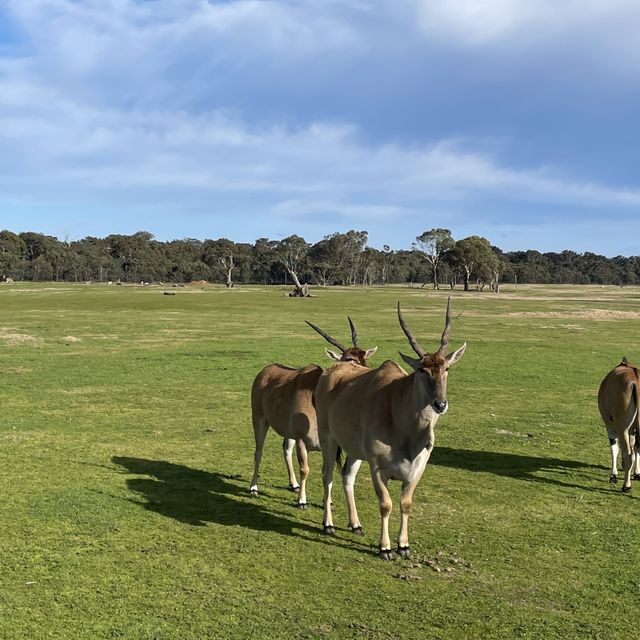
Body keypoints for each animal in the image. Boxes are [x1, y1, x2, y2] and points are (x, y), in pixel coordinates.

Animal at [246, 320, 376, 510]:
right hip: (259, 419)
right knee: (258, 451)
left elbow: (326, 472)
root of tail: (264, 372)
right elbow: (305, 469)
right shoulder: (301, 440)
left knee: (286, 448)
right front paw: (302, 500)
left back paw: (293, 484)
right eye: (349, 360)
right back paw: (254, 487)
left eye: (364, 359)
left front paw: (327, 501)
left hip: (288, 432)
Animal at [316, 298, 464, 556]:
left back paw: (356, 524)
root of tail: (330, 371)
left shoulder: (417, 470)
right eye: (421, 369)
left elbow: (406, 503)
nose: (440, 404)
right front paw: (385, 547)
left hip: (355, 452)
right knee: (328, 476)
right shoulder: (377, 467)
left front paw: (403, 545)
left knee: (347, 477)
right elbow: (385, 504)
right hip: (328, 440)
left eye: (446, 368)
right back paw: (328, 524)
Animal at [596, 360, 640, 490]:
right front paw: (636, 473)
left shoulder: (609, 425)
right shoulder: (633, 429)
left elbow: (614, 448)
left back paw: (626, 486)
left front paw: (613, 475)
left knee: (628, 454)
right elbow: (635, 447)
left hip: (621, 428)